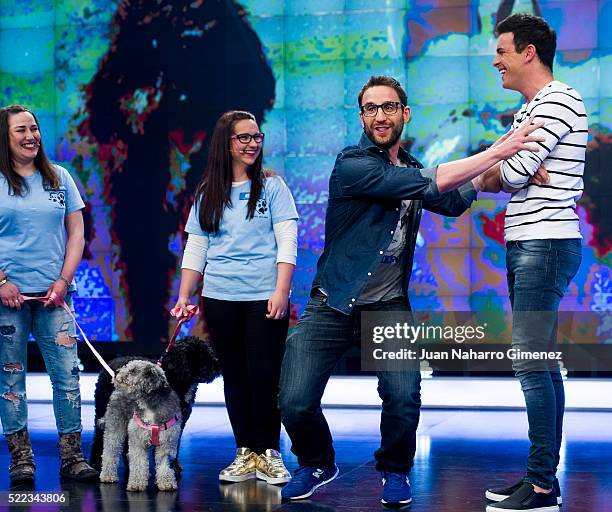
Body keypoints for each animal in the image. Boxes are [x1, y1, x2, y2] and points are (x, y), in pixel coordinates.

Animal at [88, 336, 218, 476]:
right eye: (201, 354)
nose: (217, 365)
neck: (175, 378)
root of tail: (111, 362)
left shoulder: (178, 423)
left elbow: (174, 446)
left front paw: (173, 466)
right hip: (104, 410)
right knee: (99, 437)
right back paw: (95, 463)